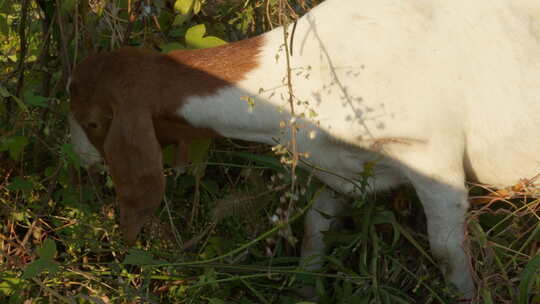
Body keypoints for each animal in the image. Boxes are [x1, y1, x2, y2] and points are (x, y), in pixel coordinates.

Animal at [69, 0, 540, 300]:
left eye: (92, 122)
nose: (80, 164)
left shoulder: (430, 157)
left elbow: (445, 251)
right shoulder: (340, 167)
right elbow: (315, 228)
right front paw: (305, 289)